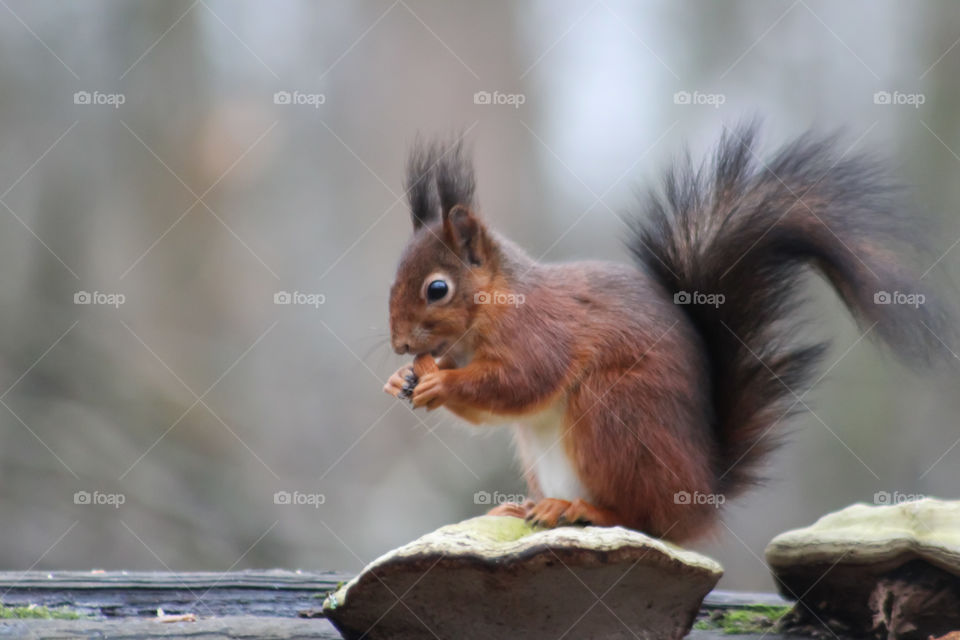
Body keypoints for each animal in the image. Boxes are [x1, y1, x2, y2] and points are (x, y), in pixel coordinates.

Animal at [383, 123, 953, 543]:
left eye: (437, 289)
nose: (400, 345)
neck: (491, 311)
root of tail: (701, 494)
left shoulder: (541, 331)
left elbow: (521, 381)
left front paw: (439, 382)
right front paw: (402, 381)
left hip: (616, 415)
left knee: (642, 519)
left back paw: (580, 508)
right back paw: (526, 505)